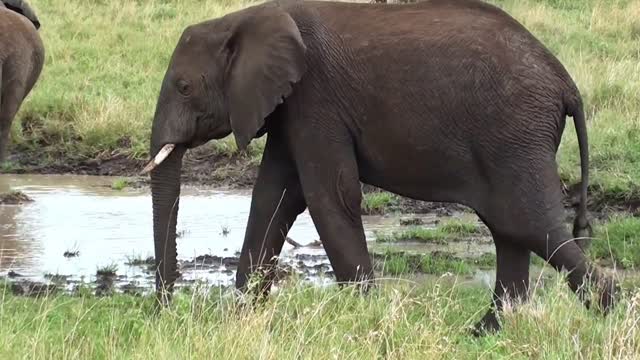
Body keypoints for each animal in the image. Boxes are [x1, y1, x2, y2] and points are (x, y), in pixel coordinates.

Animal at [142, 0, 616, 334]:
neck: (244, 17)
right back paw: (482, 334)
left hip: (515, 136)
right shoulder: (289, 107)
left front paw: (367, 318)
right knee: (511, 229)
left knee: (530, 225)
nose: (164, 310)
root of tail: (566, 83)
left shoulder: (315, 99)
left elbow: (329, 197)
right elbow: (272, 198)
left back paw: (609, 309)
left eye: (183, 87)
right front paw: (242, 319)